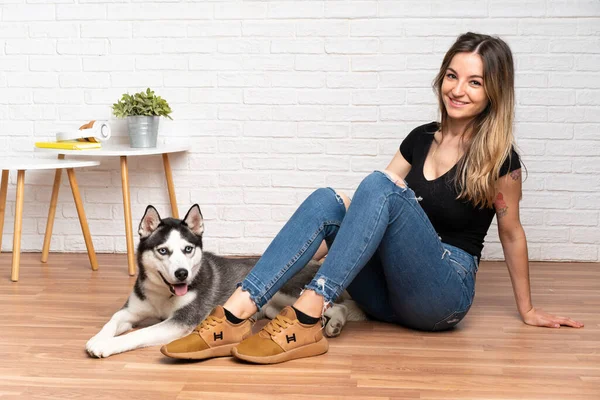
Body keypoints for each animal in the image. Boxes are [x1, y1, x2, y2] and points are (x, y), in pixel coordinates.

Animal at [84, 205, 366, 358]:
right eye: (163, 250)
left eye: (188, 249)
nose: (182, 274)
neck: (163, 293)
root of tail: (316, 265)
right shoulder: (131, 310)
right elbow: (113, 321)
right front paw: (98, 338)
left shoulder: (180, 322)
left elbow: (139, 333)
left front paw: (108, 345)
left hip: (286, 292)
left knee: (336, 306)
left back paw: (335, 323)